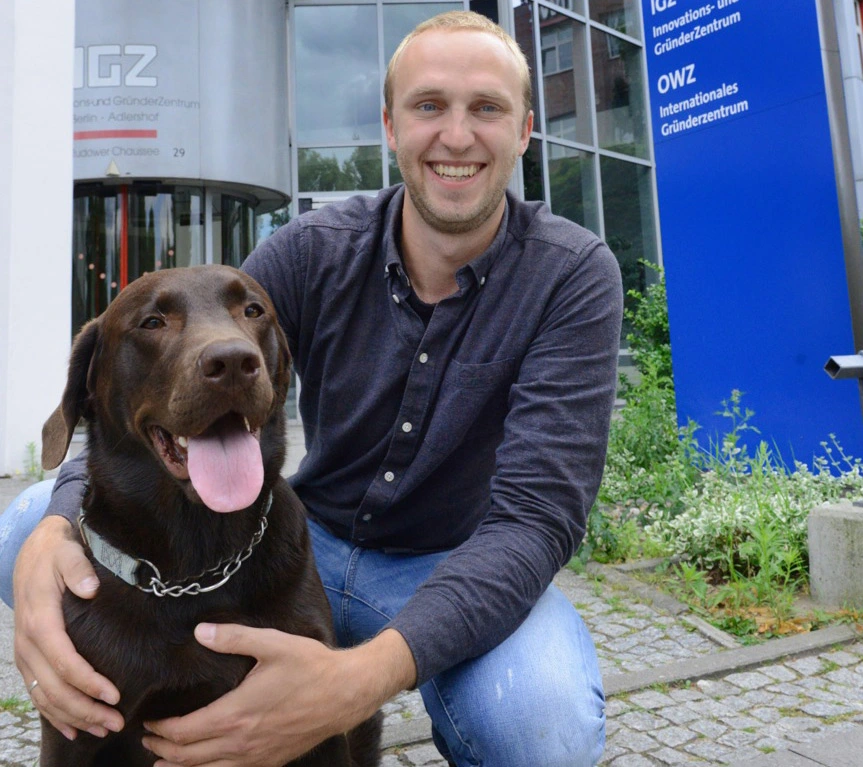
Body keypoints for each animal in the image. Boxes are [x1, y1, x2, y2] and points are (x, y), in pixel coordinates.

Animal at [38, 266, 382, 767]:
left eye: (253, 310)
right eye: (153, 322)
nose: (234, 363)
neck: (197, 564)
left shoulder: (313, 717)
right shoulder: (76, 728)